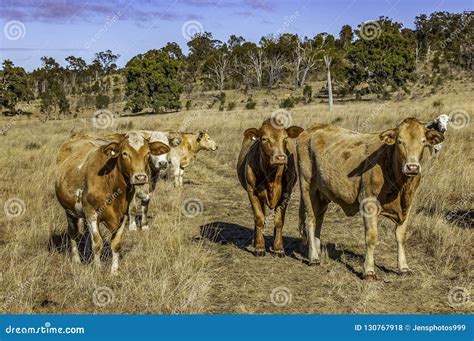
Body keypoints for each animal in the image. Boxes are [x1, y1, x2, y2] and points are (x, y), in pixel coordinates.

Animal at [54, 131, 169, 274]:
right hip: (70, 211)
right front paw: (97, 269)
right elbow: (97, 243)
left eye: (148, 153)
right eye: (124, 153)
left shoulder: (122, 215)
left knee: (86, 233)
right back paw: (76, 260)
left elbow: (116, 244)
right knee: (73, 232)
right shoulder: (92, 213)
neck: (111, 183)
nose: (140, 177)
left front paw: (114, 271)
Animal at [237, 119, 304, 255]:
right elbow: (259, 218)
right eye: (264, 139)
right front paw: (259, 247)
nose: (280, 157)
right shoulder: (252, 192)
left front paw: (278, 248)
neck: (271, 177)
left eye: (285, 138)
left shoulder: (286, 194)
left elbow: (279, 220)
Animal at [296, 117, 444, 278]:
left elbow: (401, 236)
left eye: (423, 141)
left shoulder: (408, 205)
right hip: (307, 187)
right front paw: (369, 270)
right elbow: (371, 238)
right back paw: (313, 257)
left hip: (322, 194)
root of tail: (309, 130)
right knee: (310, 220)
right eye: (400, 141)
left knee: (319, 220)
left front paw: (404, 267)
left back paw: (317, 250)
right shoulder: (368, 203)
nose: (412, 167)